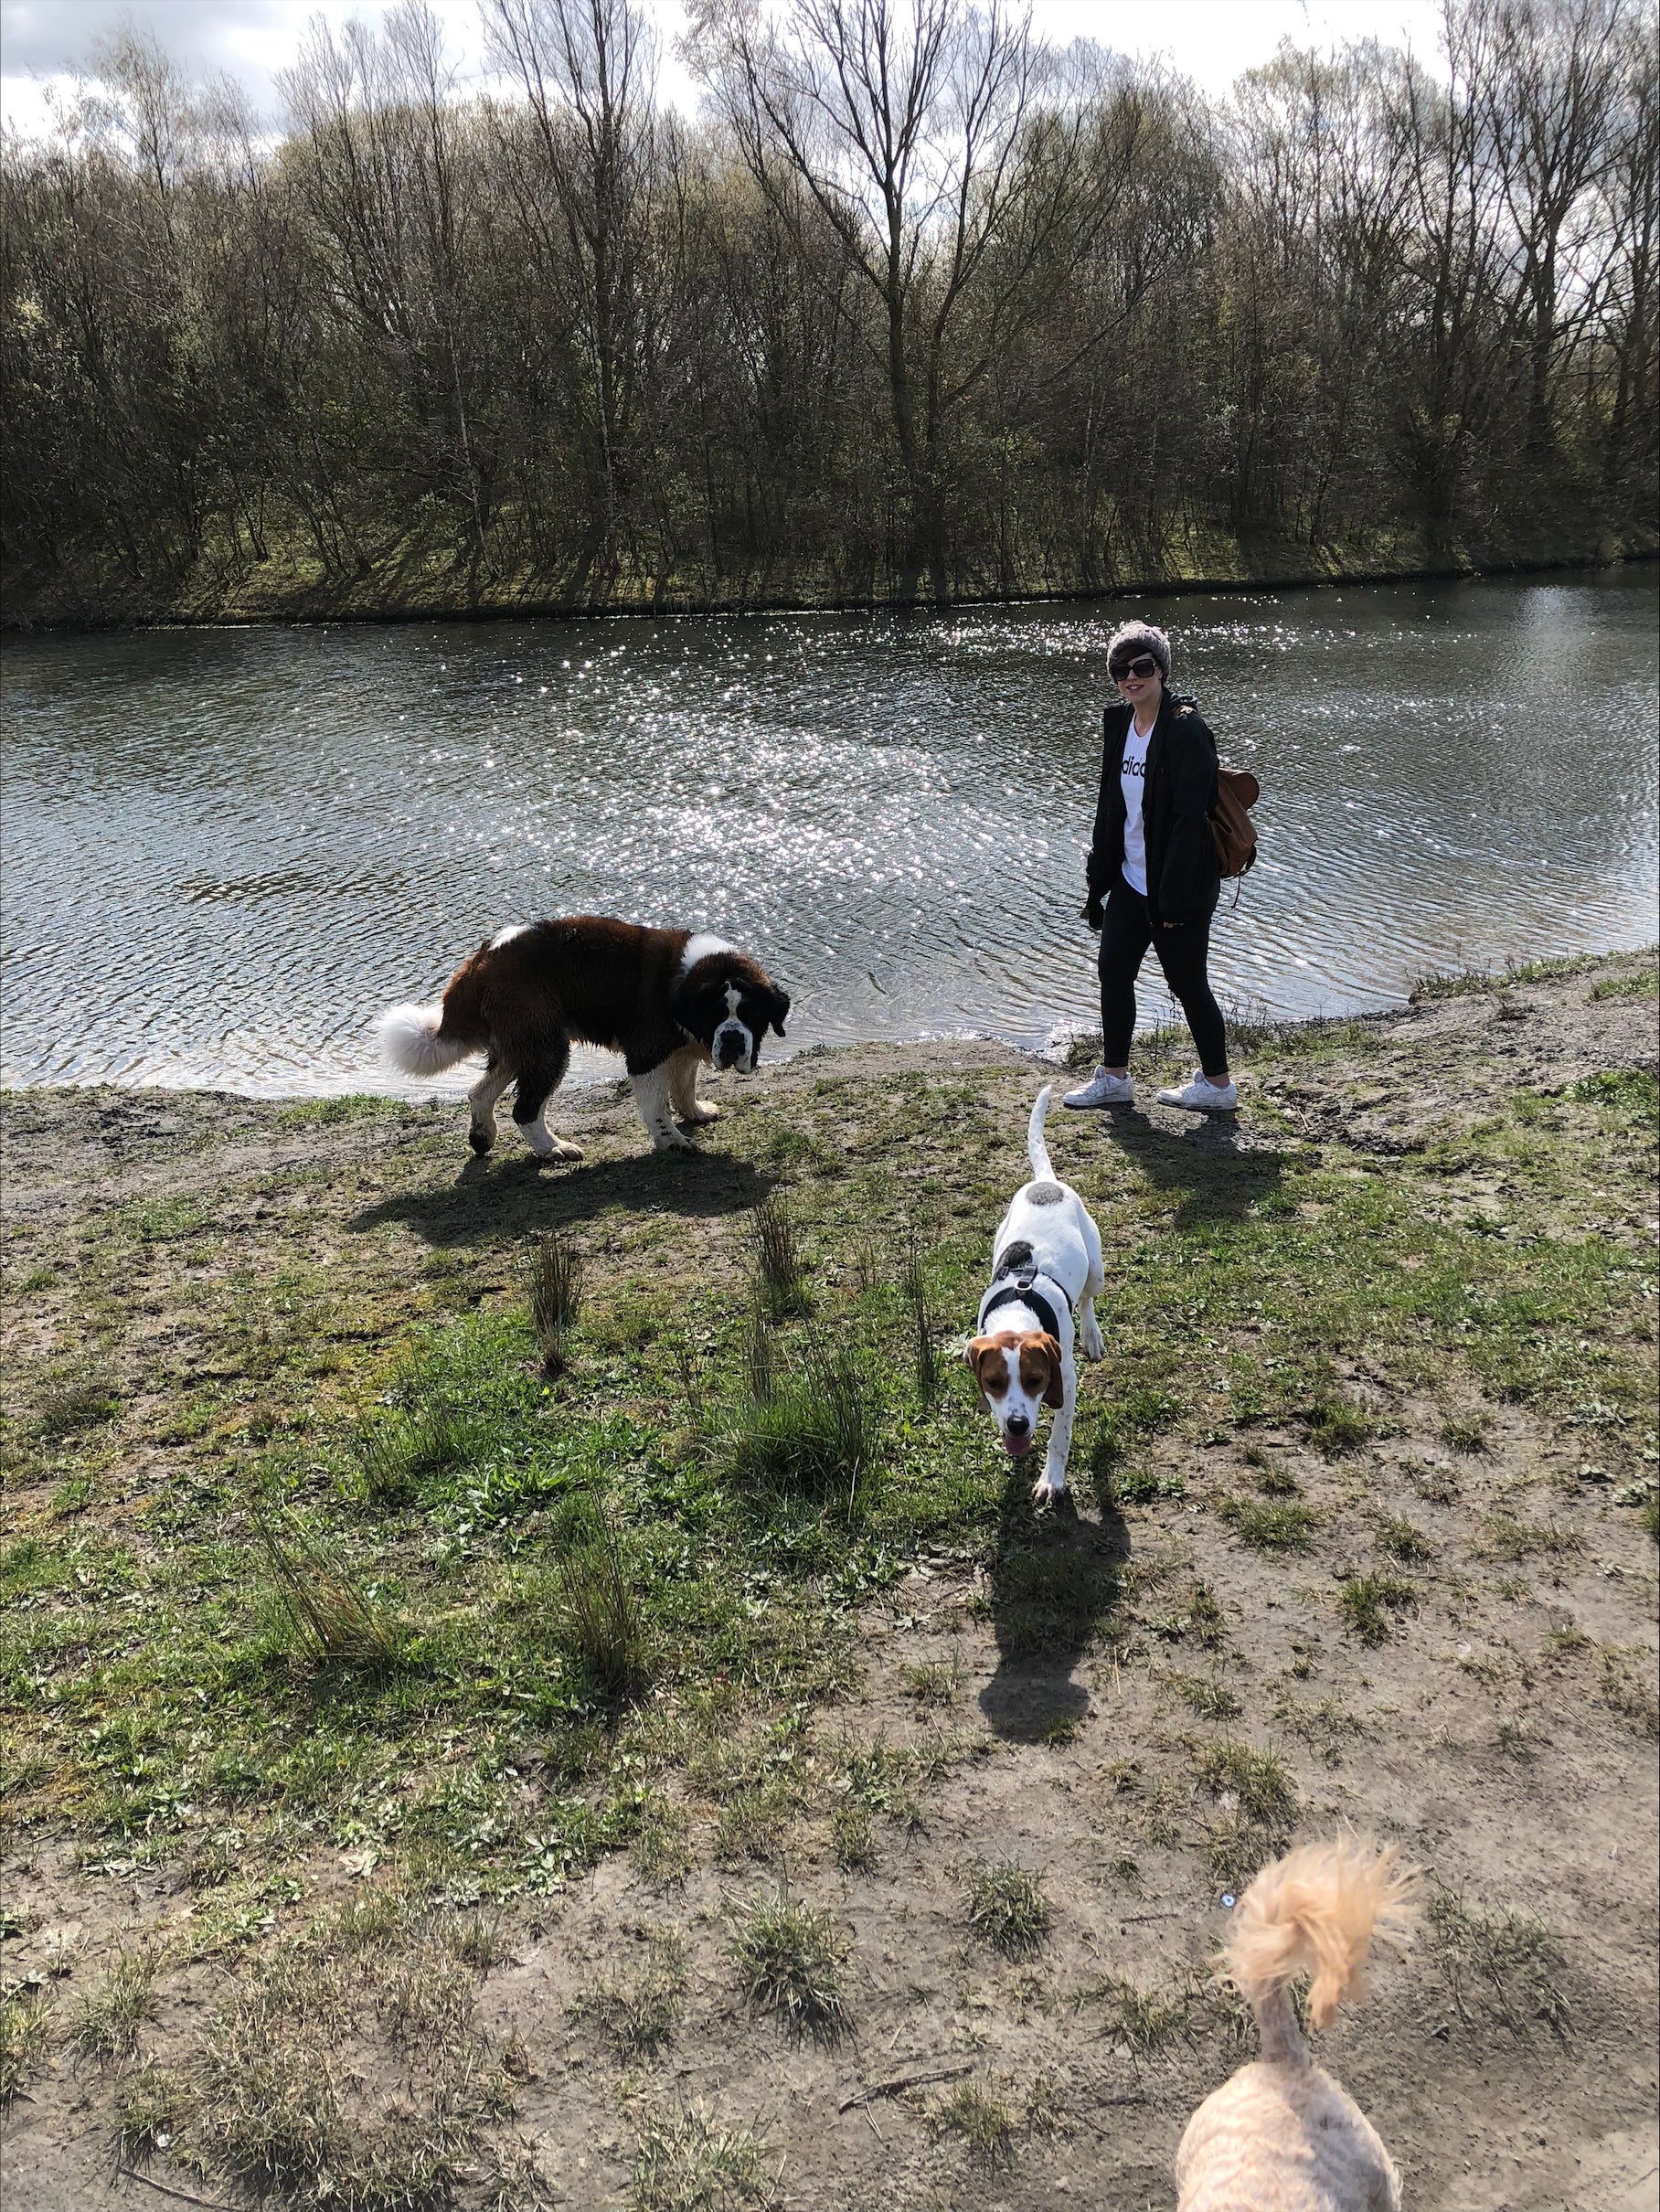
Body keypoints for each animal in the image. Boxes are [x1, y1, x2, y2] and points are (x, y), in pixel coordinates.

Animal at [378, 911, 792, 1159]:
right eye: (718, 1014)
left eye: (751, 1016)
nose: (734, 1039)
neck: (687, 981)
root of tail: (480, 960)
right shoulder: (646, 1054)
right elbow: (658, 1107)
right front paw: (672, 1141)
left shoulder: (683, 1048)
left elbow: (684, 1084)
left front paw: (696, 1112)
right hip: (548, 1048)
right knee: (524, 1110)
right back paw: (553, 1149)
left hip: (523, 1044)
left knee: (480, 1091)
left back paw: (483, 1136)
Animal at [960, 1088, 1106, 1504]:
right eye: (993, 1382)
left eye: (1035, 1379)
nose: (1017, 1424)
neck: (1019, 1307)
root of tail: (1046, 1182)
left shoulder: (1066, 1381)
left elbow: (1060, 1436)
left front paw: (1052, 1478)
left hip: (1096, 1270)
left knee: (1088, 1300)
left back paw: (1092, 1335)